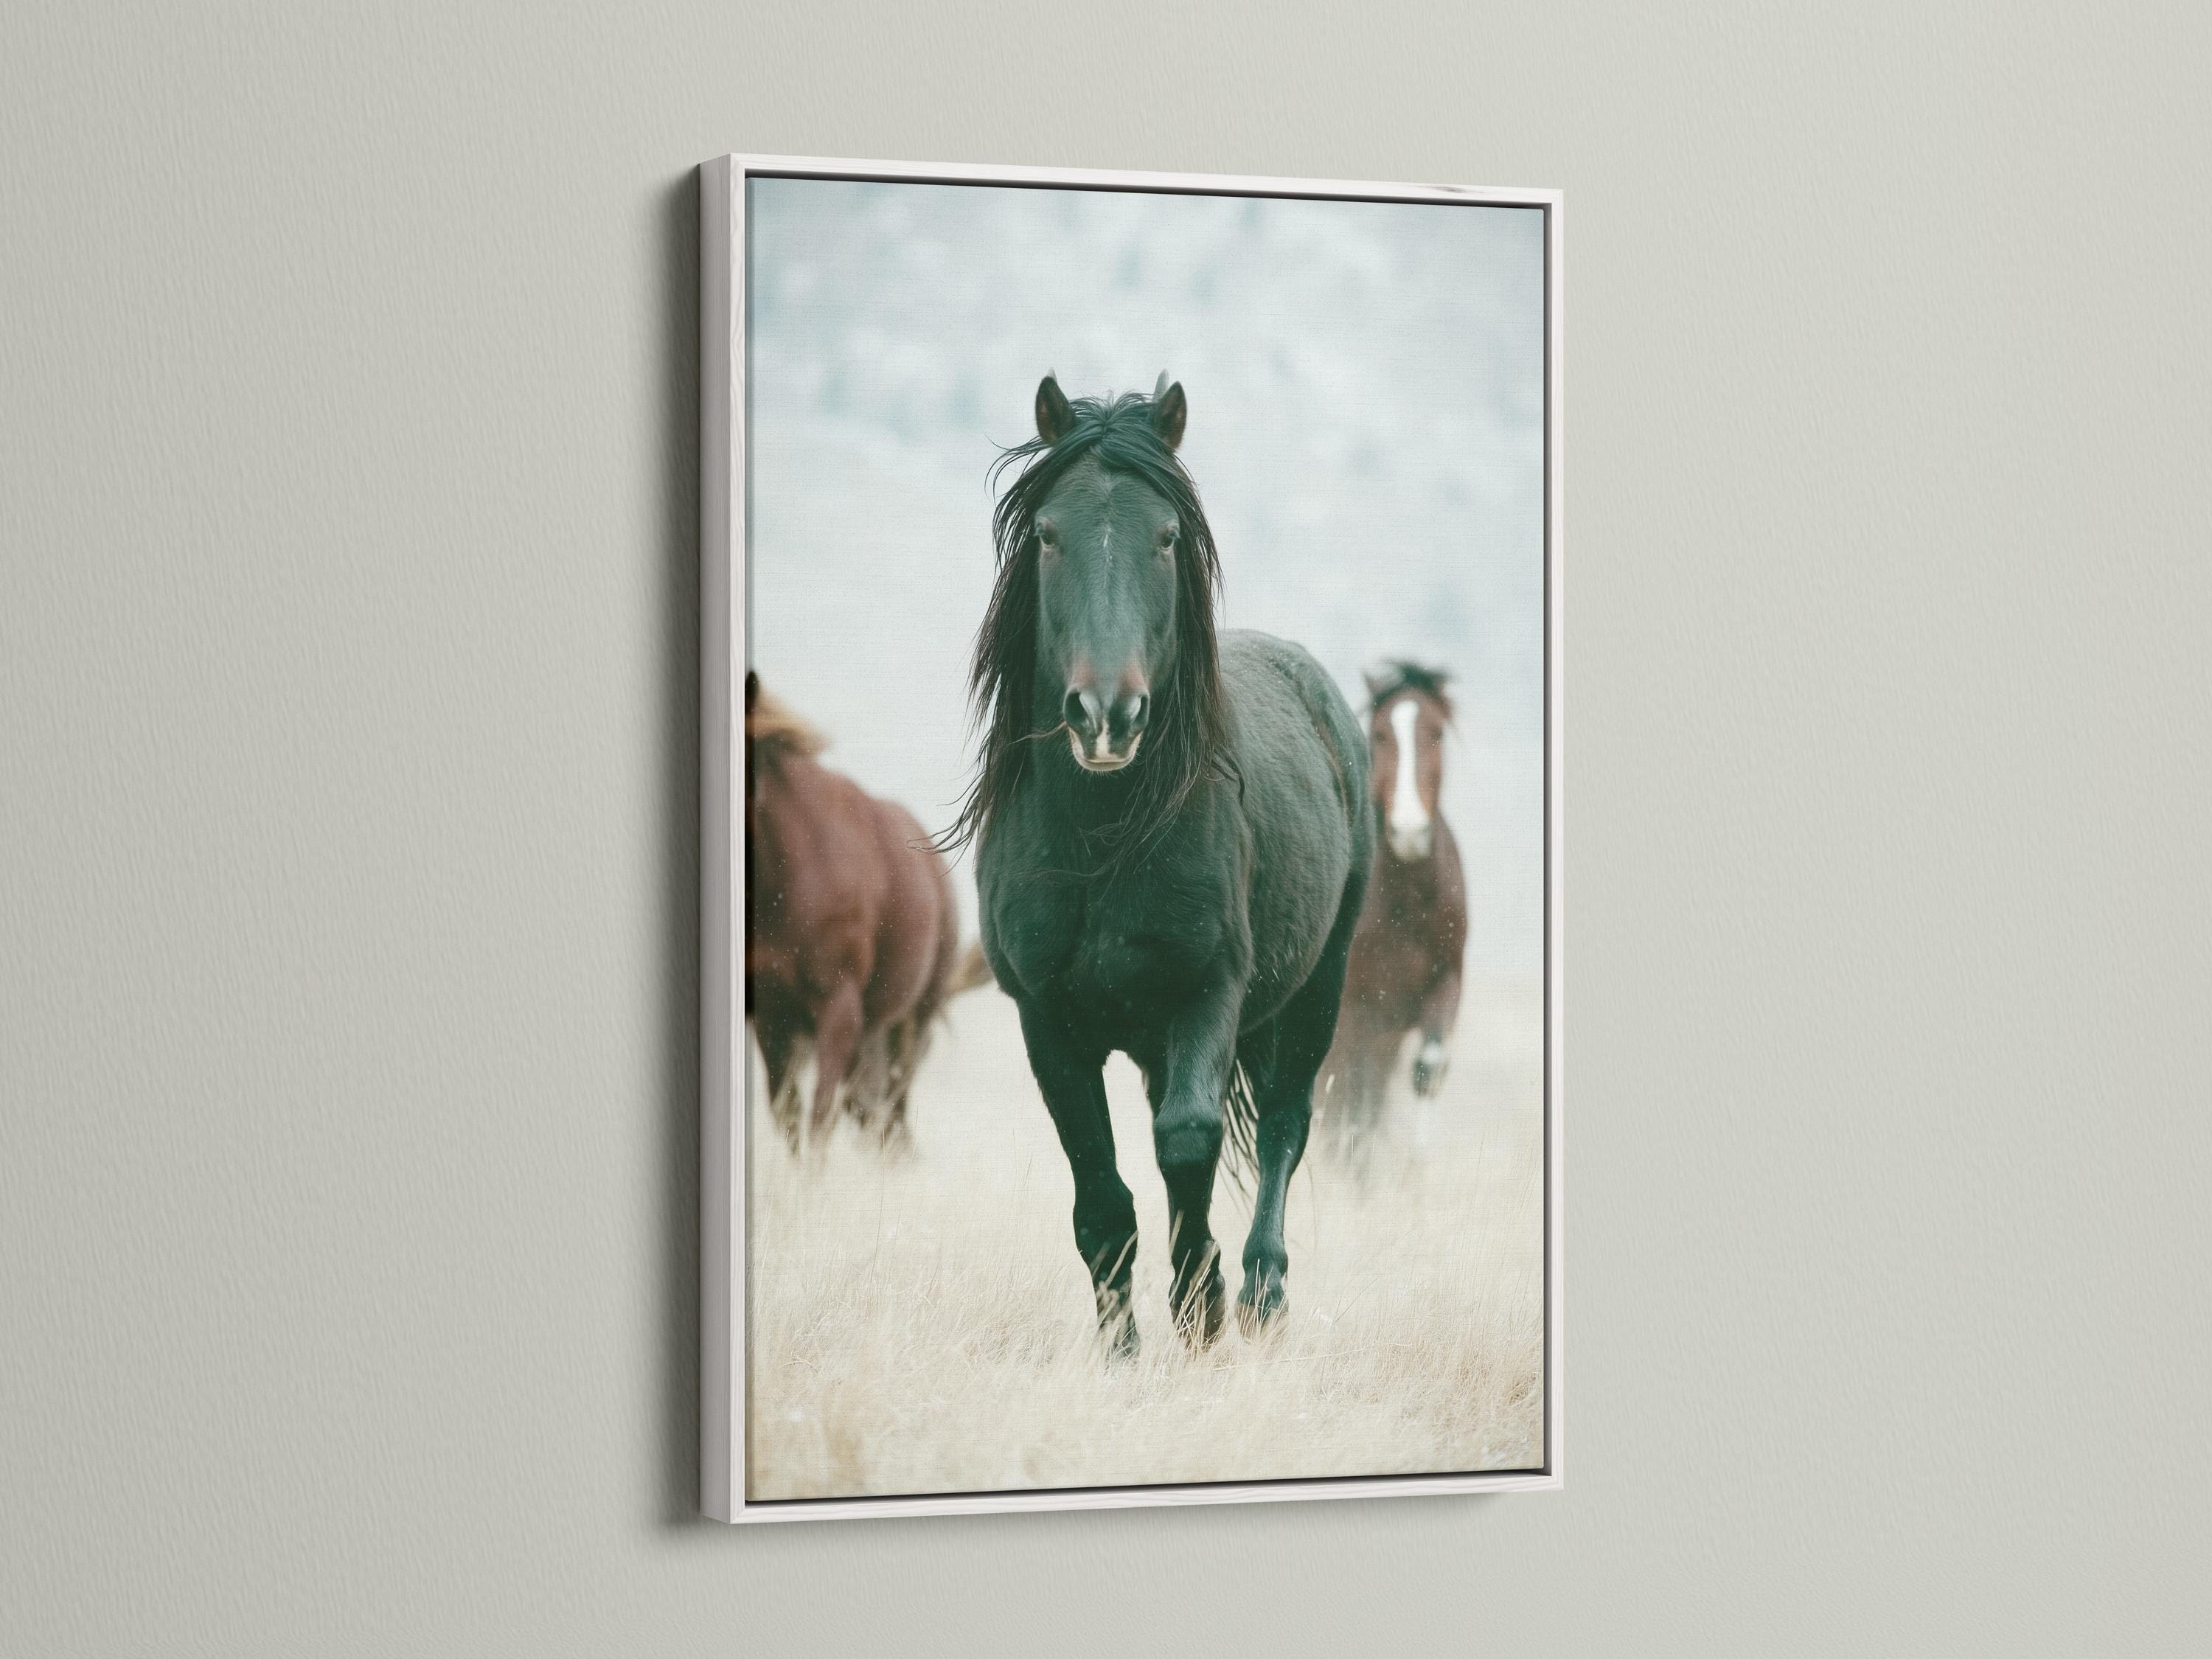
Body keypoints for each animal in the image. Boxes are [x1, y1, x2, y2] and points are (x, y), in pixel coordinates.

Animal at [745, 672, 960, 1154]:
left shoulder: (839, 1008)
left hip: (911, 1020)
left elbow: (819, 1119)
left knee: (891, 1107)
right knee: (871, 1108)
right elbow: (788, 1117)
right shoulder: (771, 1017)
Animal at [945, 373, 1373, 1357]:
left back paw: (1260, 1293)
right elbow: (1102, 1195)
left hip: (1319, 985)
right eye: (1048, 534)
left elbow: (1188, 1140)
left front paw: (1201, 1307)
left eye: (1168, 537)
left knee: (1285, 1126)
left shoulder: (1208, 992)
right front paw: (1123, 1351)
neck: (1102, 847)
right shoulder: (1047, 1024)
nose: (1108, 714)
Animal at [1321, 662, 1468, 1165]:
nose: (1408, 831)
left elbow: (1426, 1070)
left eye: (1436, 732)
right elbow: (1351, 1104)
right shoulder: (1355, 1012)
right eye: (1380, 734)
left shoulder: (1446, 980)